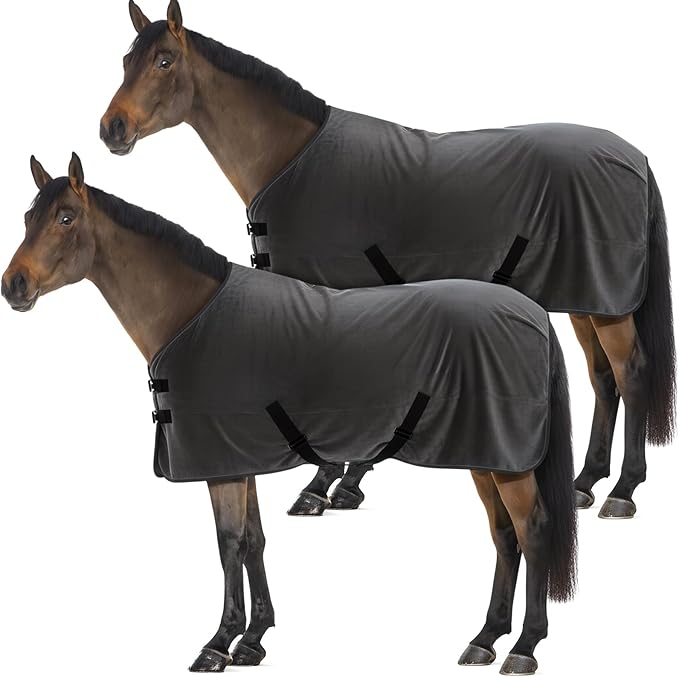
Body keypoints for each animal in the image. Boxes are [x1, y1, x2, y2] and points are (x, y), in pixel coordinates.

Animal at [2, 153, 577, 675]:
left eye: (65, 218)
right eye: (28, 217)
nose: (14, 286)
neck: (193, 316)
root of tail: (534, 315)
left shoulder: (222, 465)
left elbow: (229, 545)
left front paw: (218, 643)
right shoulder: (242, 460)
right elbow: (254, 541)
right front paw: (254, 640)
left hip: (507, 462)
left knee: (533, 531)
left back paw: (524, 647)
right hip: (486, 457)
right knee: (504, 536)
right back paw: (484, 640)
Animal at [100, 0, 675, 520]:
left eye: (164, 60)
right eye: (127, 60)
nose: (112, 129)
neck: (293, 158)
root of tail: (635, 158)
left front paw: (324, 485)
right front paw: (345, 484)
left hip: (605, 300)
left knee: (631, 371)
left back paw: (622, 491)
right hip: (586, 298)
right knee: (603, 378)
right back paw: (585, 483)